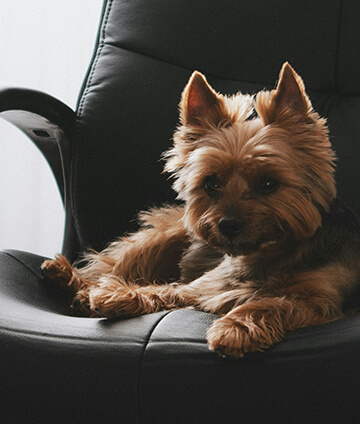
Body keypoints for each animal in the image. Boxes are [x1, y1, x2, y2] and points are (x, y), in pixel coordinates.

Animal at [42, 63, 360, 358]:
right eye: (211, 183)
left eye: (269, 183)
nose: (228, 224)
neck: (269, 253)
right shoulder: (200, 286)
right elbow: (164, 288)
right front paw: (119, 295)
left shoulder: (323, 301)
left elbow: (272, 302)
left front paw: (235, 328)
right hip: (164, 236)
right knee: (108, 268)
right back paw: (70, 279)